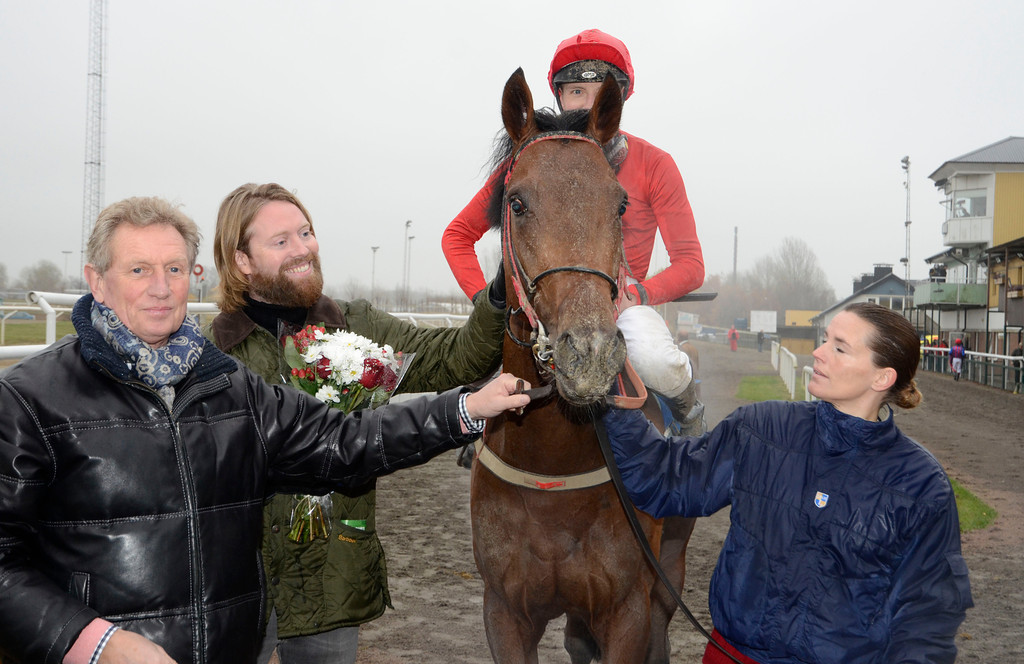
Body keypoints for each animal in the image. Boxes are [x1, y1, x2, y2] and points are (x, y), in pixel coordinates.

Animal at [468, 70, 696, 659]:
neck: (553, 459)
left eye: (620, 205)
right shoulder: (503, 610)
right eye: (517, 202)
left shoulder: (629, 609)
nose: (588, 353)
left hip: (670, 571)